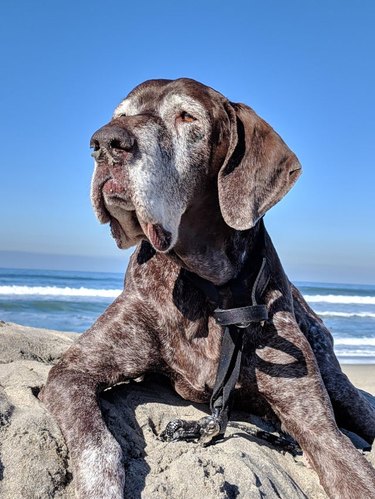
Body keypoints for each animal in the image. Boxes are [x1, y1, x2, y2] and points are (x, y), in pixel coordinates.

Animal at [39, 79, 374, 499]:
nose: (104, 142)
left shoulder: (318, 427)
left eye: (187, 117)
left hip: (339, 383)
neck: (209, 286)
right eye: (120, 115)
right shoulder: (71, 373)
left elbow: (350, 466)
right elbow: (99, 445)